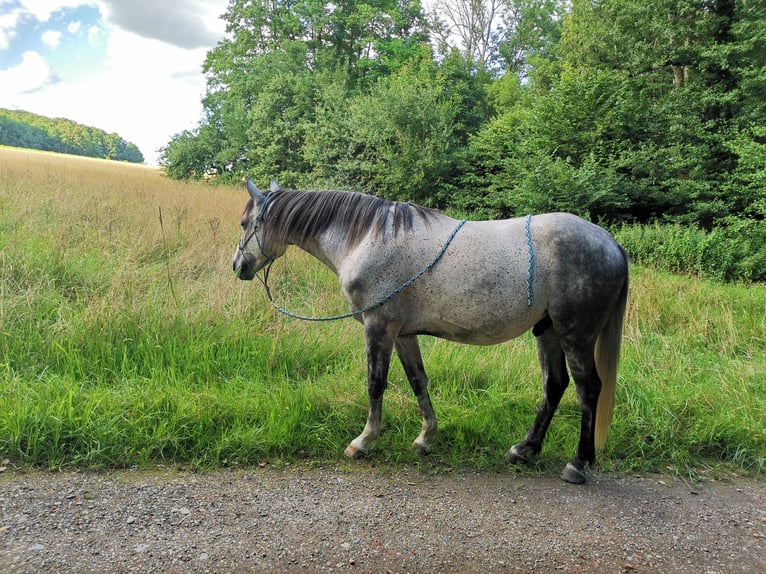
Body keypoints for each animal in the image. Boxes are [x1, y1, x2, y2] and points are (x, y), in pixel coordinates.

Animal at [232, 180, 632, 486]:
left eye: (243, 223)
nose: (238, 266)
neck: (366, 239)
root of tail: (611, 243)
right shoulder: (403, 334)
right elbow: (418, 381)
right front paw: (425, 438)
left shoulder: (379, 327)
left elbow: (376, 384)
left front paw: (364, 441)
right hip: (546, 331)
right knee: (554, 385)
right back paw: (524, 449)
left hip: (575, 335)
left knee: (587, 389)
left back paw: (577, 463)